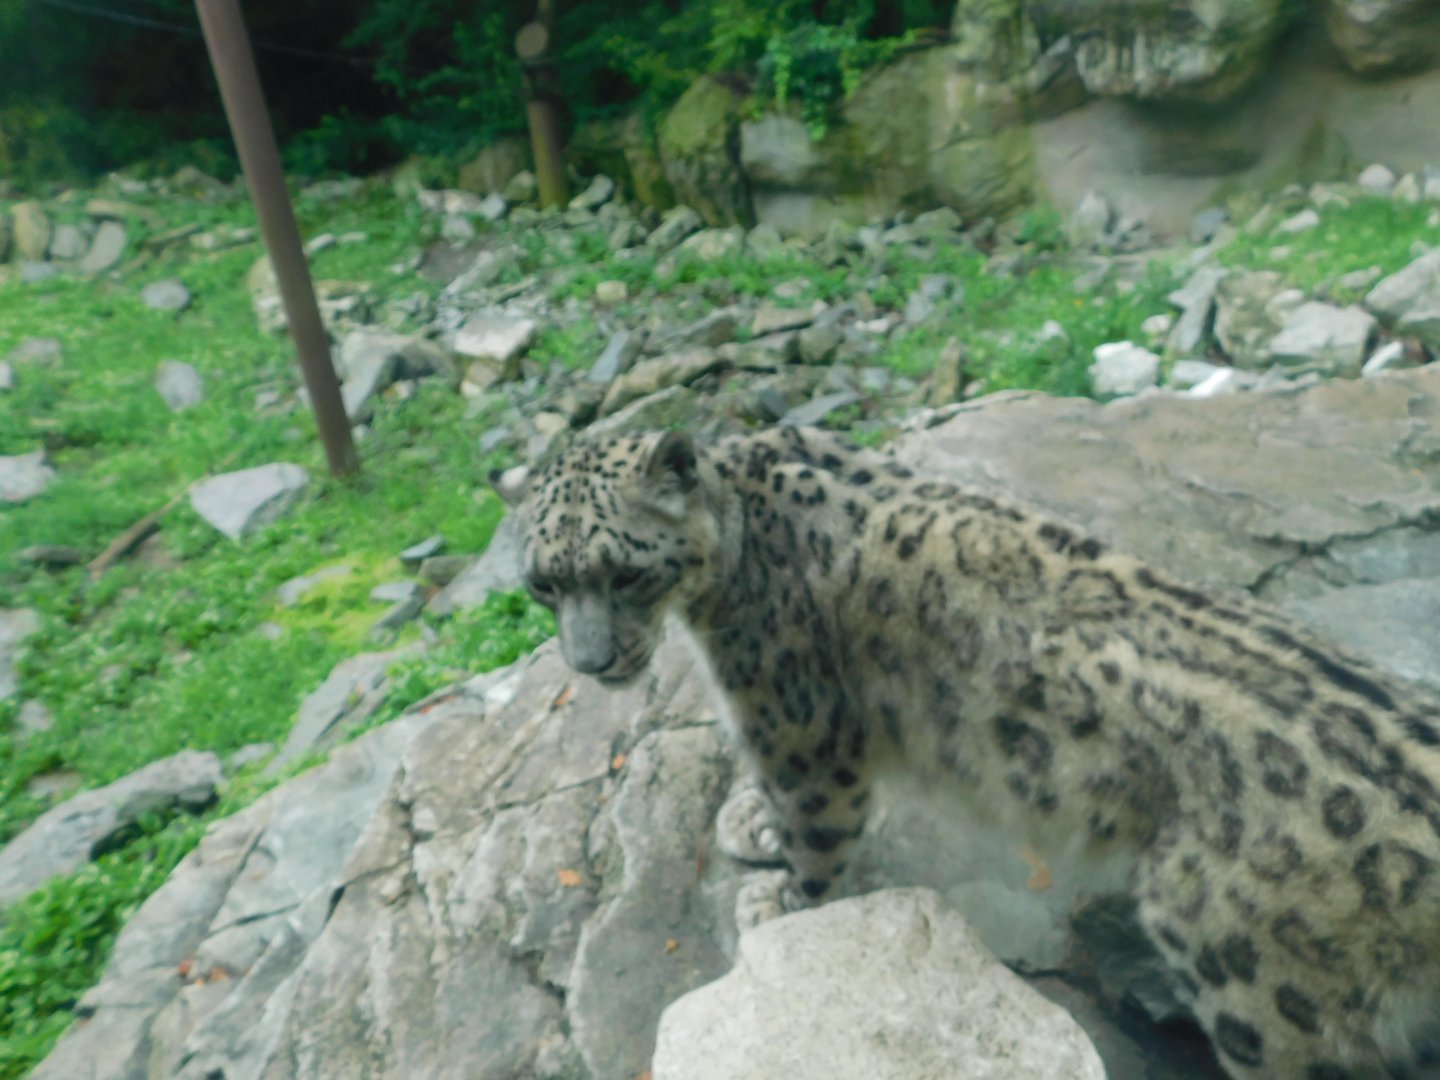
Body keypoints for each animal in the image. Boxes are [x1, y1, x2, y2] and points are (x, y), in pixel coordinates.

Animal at [492, 423, 1440, 1080]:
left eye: (624, 572)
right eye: (544, 583)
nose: (589, 662)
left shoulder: (796, 725)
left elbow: (817, 830)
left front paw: (778, 899)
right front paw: (750, 821)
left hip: (1253, 985)